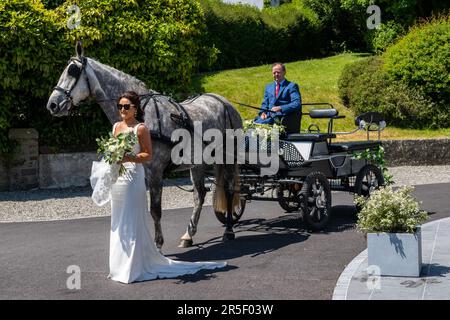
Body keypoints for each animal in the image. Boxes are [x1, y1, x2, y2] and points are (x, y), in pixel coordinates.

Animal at [46, 41, 243, 249]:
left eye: (72, 71)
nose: (52, 104)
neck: (140, 114)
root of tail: (227, 103)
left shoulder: (155, 171)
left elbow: (155, 210)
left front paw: (157, 245)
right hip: (197, 163)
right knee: (199, 195)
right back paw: (188, 235)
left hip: (229, 158)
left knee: (229, 189)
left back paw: (229, 230)